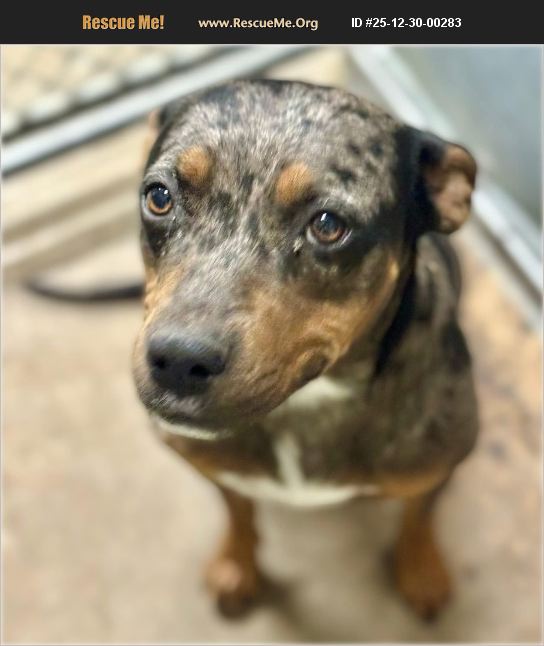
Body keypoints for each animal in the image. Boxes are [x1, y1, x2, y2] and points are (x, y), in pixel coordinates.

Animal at [132, 79, 479, 620]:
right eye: (160, 196)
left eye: (329, 224)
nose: (179, 361)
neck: (307, 405)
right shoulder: (218, 470)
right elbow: (238, 511)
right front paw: (237, 564)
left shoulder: (438, 468)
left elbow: (419, 516)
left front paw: (421, 571)